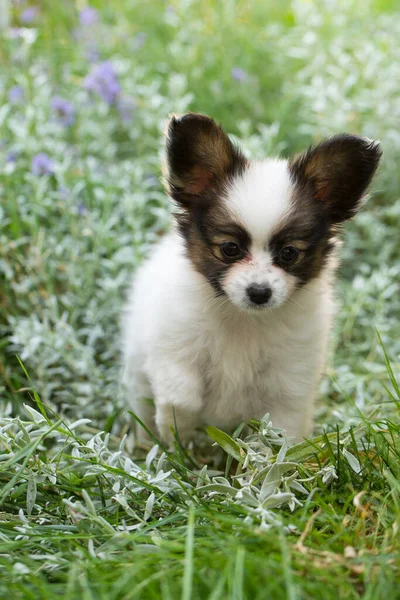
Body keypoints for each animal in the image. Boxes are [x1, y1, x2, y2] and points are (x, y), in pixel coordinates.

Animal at [121, 112, 382, 442]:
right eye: (230, 248)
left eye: (289, 253)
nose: (259, 293)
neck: (243, 321)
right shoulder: (174, 345)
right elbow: (181, 396)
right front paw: (175, 433)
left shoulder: (290, 379)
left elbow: (281, 435)